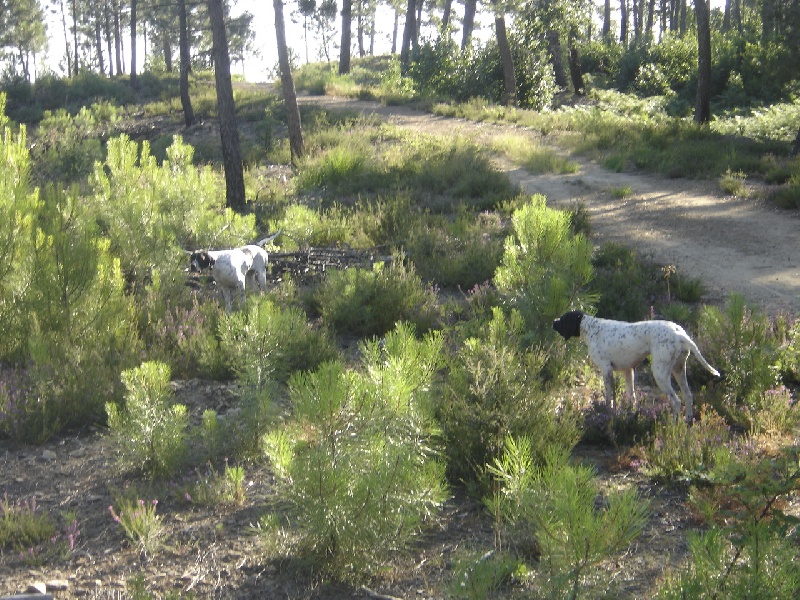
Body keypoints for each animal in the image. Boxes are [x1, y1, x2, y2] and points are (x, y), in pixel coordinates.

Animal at [552, 310, 720, 422]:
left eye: (563, 319)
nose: (553, 321)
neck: (592, 328)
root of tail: (681, 335)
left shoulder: (606, 370)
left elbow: (609, 399)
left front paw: (608, 414)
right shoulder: (628, 371)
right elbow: (631, 396)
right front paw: (630, 414)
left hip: (660, 373)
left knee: (676, 402)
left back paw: (674, 425)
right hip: (678, 370)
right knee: (688, 395)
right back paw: (688, 421)